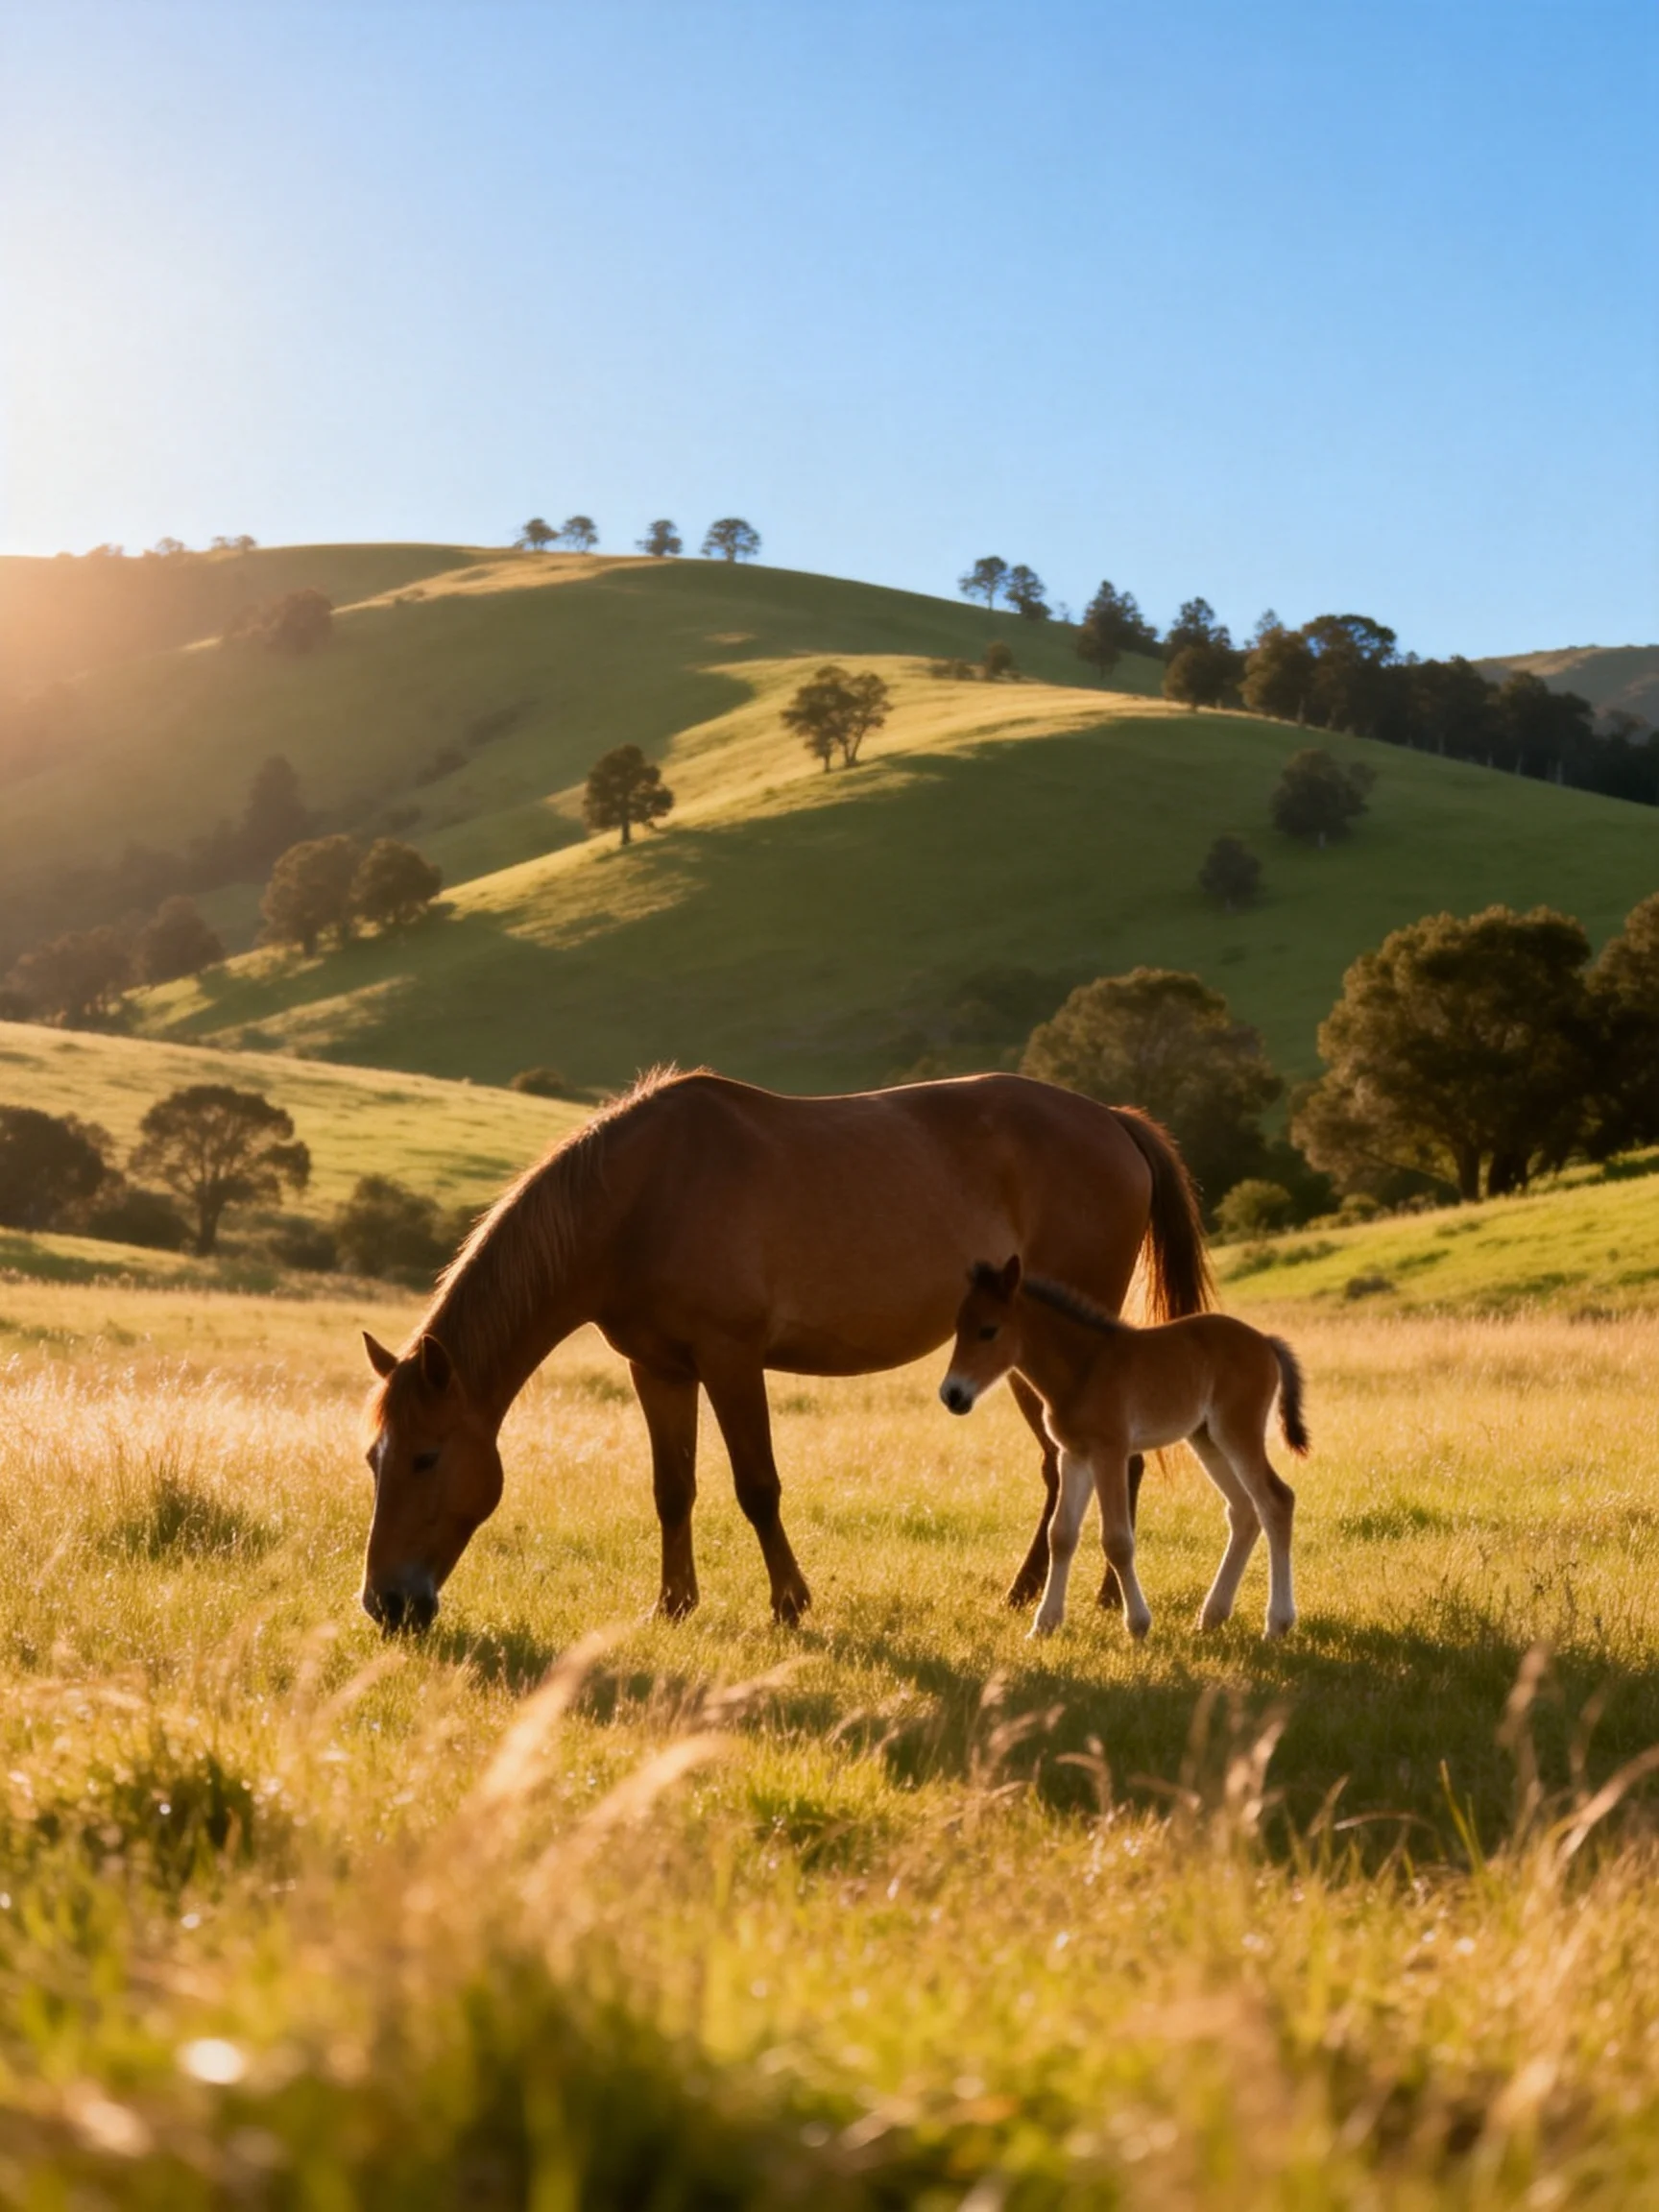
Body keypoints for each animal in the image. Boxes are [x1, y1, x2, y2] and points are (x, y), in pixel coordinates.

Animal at [358, 1067, 1211, 1632]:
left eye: (426, 1458)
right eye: (374, 1459)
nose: (385, 1603)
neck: (642, 1196)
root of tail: (1113, 1120)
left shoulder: (732, 1359)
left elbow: (756, 1486)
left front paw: (790, 1603)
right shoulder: (658, 1369)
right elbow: (673, 1489)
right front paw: (673, 1604)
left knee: (1113, 1463)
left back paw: (1105, 1598)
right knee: (1060, 1469)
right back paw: (1027, 1593)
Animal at [939, 1256, 1306, 1641]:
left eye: (988, 1330)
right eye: (958, 1328)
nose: (952, 1394)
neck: (1083, 1370)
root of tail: (1266, 1342)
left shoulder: (1110, 1452)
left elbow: (1117, 1540)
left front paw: (1138, 1624)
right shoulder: (1073, 1455)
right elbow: (1061, 1534)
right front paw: (1044, 1625)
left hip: (1237, 1431)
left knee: (1276, 1500)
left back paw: (1276, 1623)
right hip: (1207, 1439)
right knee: (1244, 1510)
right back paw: (1211, 1616)